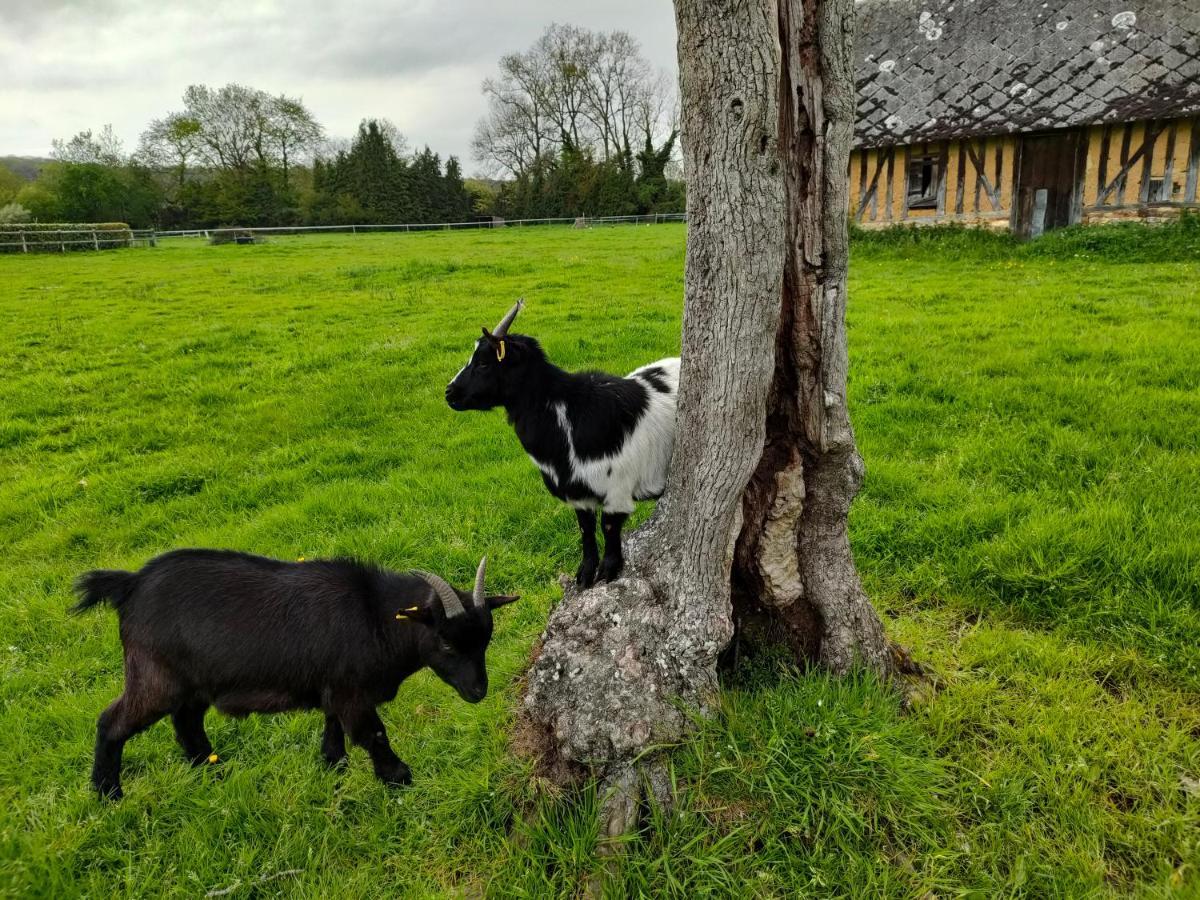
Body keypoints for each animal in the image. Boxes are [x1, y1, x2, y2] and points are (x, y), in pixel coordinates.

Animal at [71, 549, 516, 801]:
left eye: (485, 641)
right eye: (446, 645)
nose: (478, 691)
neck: (373, 615)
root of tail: (129, 585)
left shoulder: (334, 688)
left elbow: (334, 733)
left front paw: (333, 771)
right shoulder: (353, 693)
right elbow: (373, 734)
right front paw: (400, 781)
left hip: (194, 683)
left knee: (187, 723)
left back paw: (214, 771)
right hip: (155, 678)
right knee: (111, 722)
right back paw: (108, 794)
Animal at [446, 300, 681, 588]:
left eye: (482, 364)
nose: (449, 393)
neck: (567, 415)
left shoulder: (616, 489)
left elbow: (608, 528)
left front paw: (608, 571)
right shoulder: (578, 493)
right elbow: (585, 529)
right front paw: (585, 574)